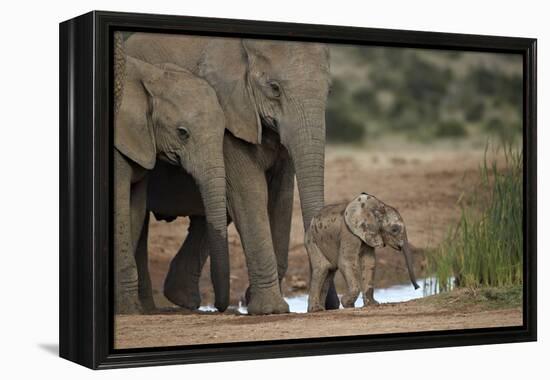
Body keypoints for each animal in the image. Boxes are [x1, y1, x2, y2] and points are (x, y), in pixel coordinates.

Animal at [127, 32, 340, 314]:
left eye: (329, 90)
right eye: (274, 88)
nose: (329, 306)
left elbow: (281, 196)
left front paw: (255, 301)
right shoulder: (231, 112)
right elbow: (249, 192)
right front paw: (270, 310)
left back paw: (181, 300)